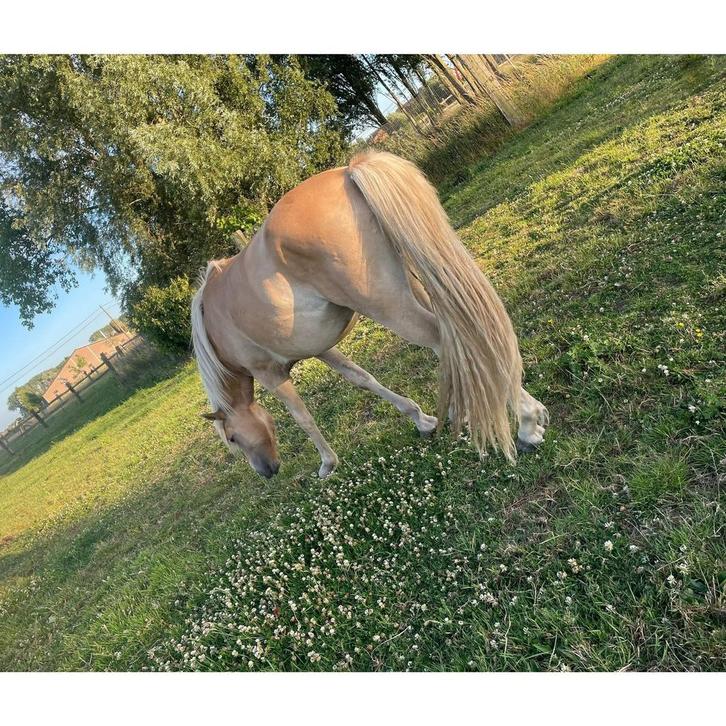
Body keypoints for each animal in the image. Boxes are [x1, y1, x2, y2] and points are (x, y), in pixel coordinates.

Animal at [191, 150, 548, 479]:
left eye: (233, 438)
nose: (266, 471)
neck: (215, 331)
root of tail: (349, 172)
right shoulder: (321, 349)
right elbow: (362, 379)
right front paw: (423, 421)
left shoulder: (270, 373)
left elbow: (303, 417)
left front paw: (327, 463)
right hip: (419, 285)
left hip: (390, 306)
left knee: (452, 339)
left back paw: (527, 425)